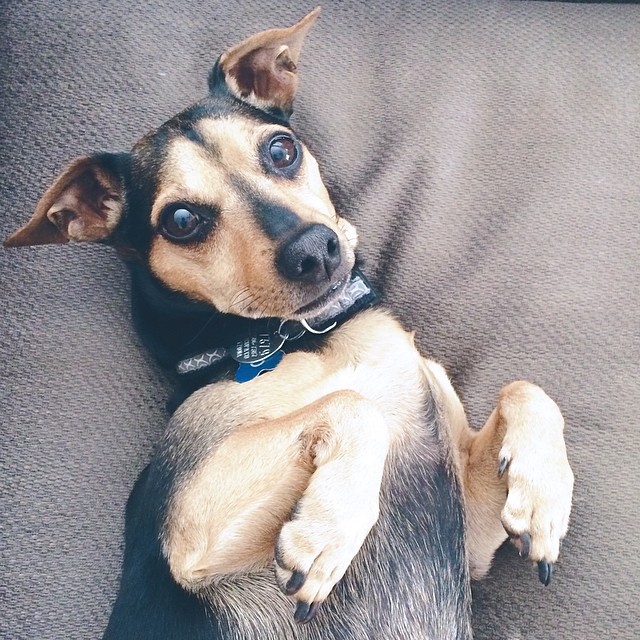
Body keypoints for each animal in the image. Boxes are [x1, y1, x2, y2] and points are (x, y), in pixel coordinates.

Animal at [3, 7, 576, 636]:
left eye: (281, 151)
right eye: (181, 220)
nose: (315, 251)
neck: (315, 340)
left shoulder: (469, 532)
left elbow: (527, 388)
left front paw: (544, 495)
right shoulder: (190, 532)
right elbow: (354, 405)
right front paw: (328, 530)